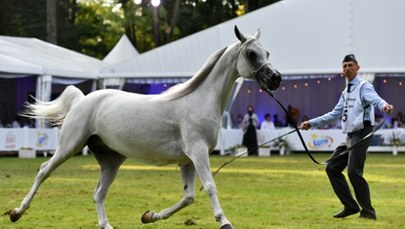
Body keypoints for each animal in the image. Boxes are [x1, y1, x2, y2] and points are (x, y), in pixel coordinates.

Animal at [9, 26, 280, 228]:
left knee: (98, 193)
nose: (275, 79)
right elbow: (210, 187)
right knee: (43, 171)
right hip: (69, 147)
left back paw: (105, 225)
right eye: (251, 54)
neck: (198, 100)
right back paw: (17, 212)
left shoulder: (187, 161)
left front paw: (149, 216)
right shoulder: (198, 153)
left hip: (111, 160)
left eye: (267, 52)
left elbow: (188, 197)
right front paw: (224, 221)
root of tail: (82, 100)